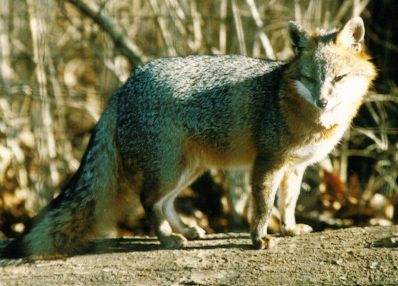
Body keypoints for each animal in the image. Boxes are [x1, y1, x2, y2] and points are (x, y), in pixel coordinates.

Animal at [0, 17, 376, 260]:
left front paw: (289, 228)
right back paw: (167, 238)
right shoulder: (268, 163)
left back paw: (185, 230)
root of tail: (123, 86)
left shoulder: (295, 167)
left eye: (338, 78)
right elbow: (263, 207)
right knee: (148, 200)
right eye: (311, 79)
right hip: (171, 169)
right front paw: (258, 239)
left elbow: (288, 203)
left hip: (189, 168)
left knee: (163, 202)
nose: (322, 101)